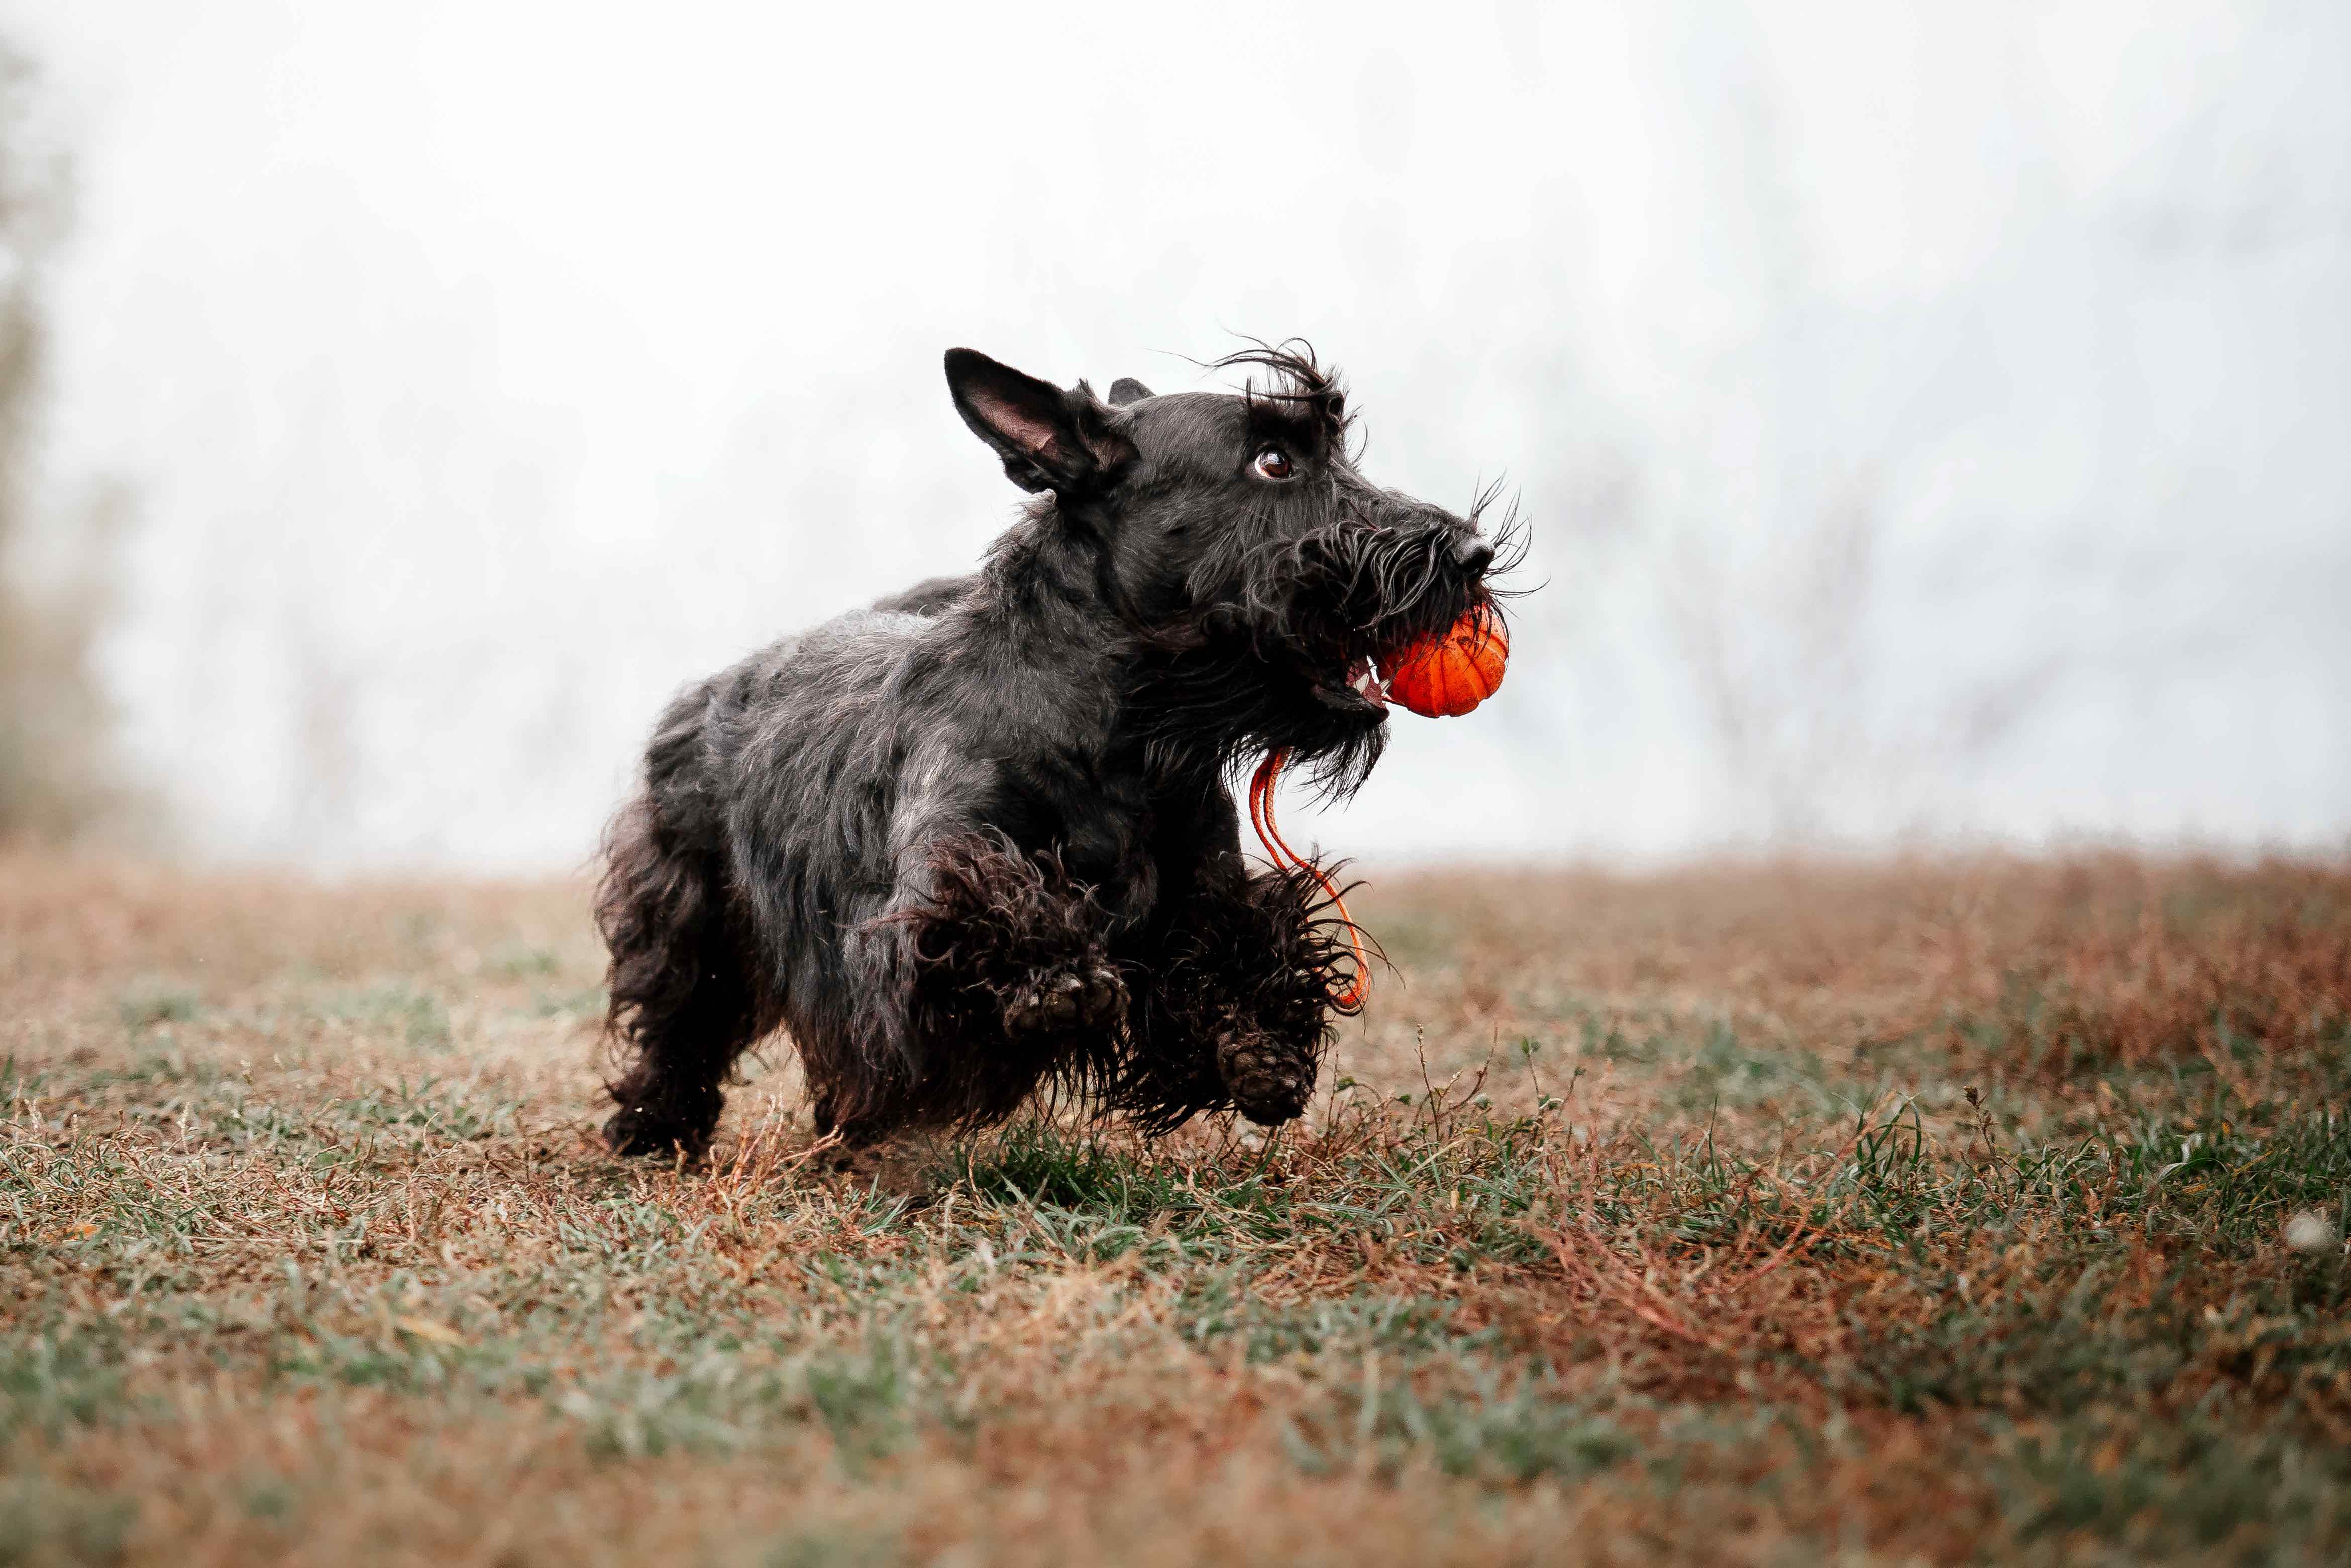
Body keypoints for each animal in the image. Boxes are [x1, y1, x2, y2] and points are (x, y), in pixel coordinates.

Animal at [597, 345, 1514, 1152]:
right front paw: (1061, 981)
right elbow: (997, 907)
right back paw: (654, 1126)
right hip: (694, 908)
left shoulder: (1206, 889)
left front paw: (1262, 1052)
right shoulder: (928, 896)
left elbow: (1242, 946)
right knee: (682, 1021)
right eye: (1274, 462)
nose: (1474, 554)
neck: (1121, 735)